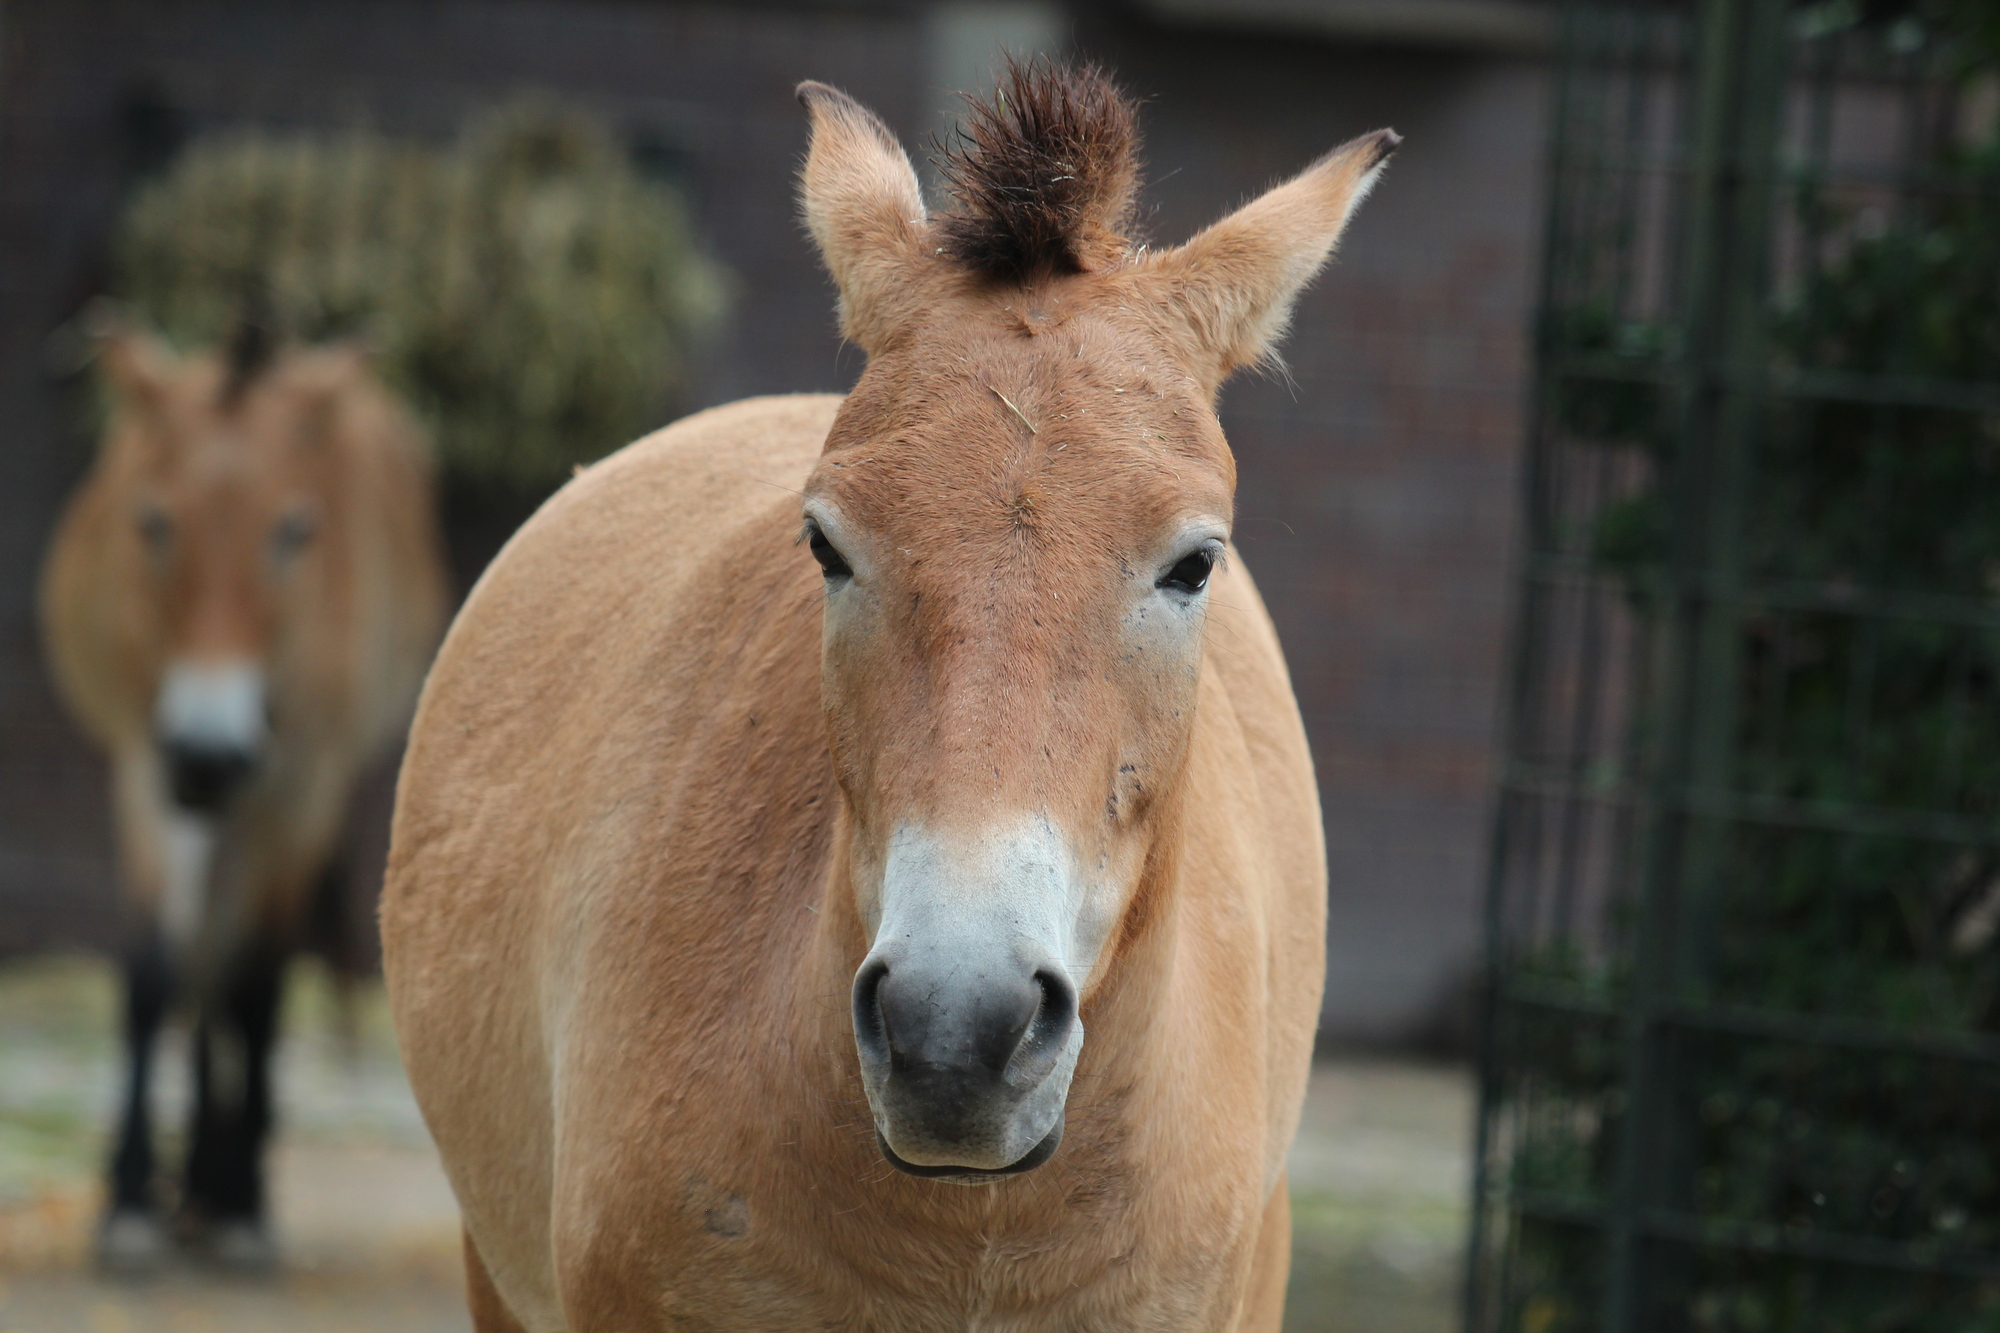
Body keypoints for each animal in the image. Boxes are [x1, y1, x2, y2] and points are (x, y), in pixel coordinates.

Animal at [39, 312, 448, 1264]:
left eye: (295, 530)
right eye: (153, 521)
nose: (209, 751)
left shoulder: (299, 782)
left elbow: (257, 979)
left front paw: (240, 1200)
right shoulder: (146, 761)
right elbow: (156, 968)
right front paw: (129, 1198)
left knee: (231, 967)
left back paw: (218, 1183)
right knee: (202, 962)